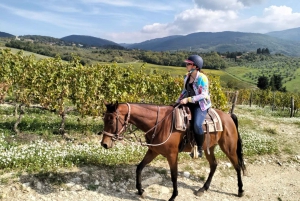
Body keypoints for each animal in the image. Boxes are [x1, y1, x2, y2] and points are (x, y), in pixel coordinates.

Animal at [101, 102, 246, 201]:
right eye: (104, 119)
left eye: (112, 120)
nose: (104, 144)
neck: (160, 123)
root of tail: (228, 116)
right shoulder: (153, 151)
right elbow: (139, 168)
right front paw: (141, 191)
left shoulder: (172, 155)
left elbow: (174, 175)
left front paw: (173, 196)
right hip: (209, 148)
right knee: (214, 165)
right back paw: (203, 188)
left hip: (229, 148)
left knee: (237, 166)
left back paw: (240, 190)